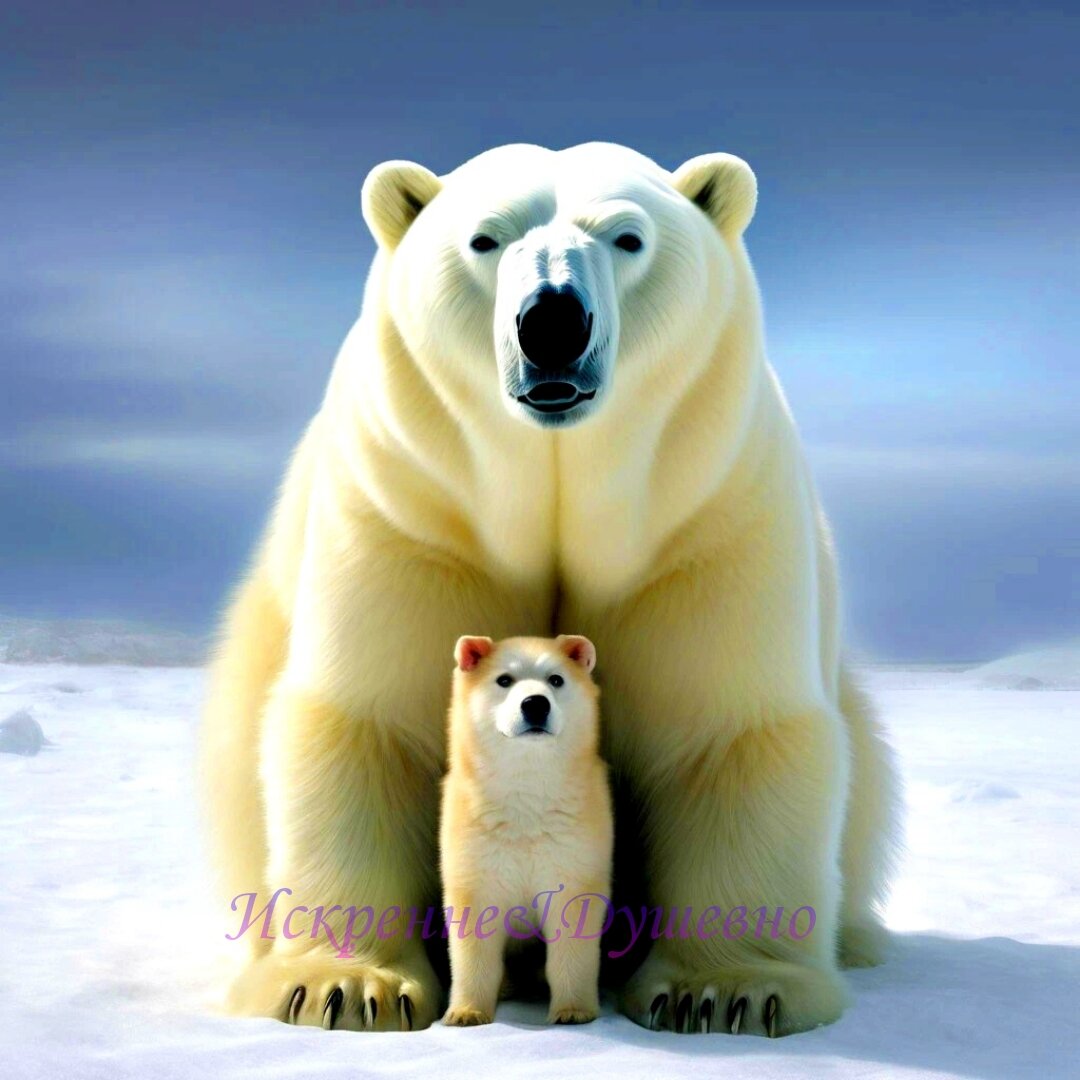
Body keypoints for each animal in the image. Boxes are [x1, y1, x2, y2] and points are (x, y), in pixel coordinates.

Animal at [200, 142, 900, 1036]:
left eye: (627, 237)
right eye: (485, 238)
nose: (553, 321)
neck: (558, 484)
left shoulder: (706, 514)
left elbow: (726, 727)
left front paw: (727, 991)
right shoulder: (412, 504)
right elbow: (371, 718)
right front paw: (345, 987)